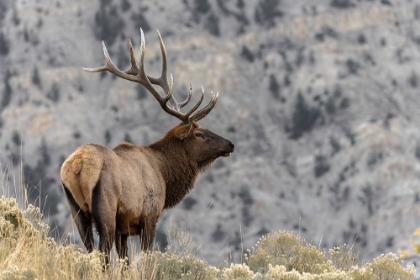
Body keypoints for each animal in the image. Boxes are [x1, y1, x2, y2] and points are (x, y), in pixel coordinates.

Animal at [60, 29, 235, 266]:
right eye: (199, 134)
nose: (230, 143)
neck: (164, 174)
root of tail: (77, 166)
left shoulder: (123, 228)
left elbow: (125, 263)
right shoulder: (149, 217)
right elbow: (146, 258)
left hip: (77, 212)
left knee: (90, 250)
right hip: (106, 209)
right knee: (103, 255)